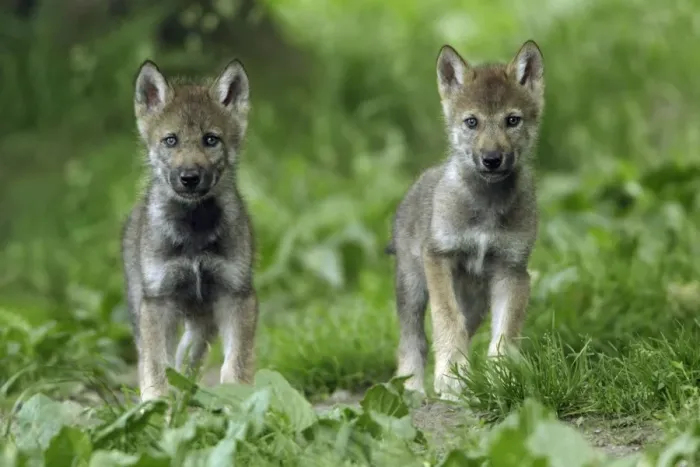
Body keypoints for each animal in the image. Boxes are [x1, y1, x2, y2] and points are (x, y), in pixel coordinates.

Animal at [121, 58, 258, 401]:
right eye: (171, 140)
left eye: (211, 139)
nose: (189, 177)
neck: (194, 232)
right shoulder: (158, 302)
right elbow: (156, 367)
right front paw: (155, 403)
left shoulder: (237, 295)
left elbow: (236, 363)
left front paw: (239, 399)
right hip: (146, 309)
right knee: (156, 357)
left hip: (202, 322)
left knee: (189, 357)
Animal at [386, 40, 545, 400]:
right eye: (471, 122)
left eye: (512, 120)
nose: (492, 159)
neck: (486, 208)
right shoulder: (439, 257)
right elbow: (447, 321)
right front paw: (451, 379)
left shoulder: (512, 271)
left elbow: (504, 336)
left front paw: (501, 381)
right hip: (412, 286)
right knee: (413, 340)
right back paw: (412, 388)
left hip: (476, 300)